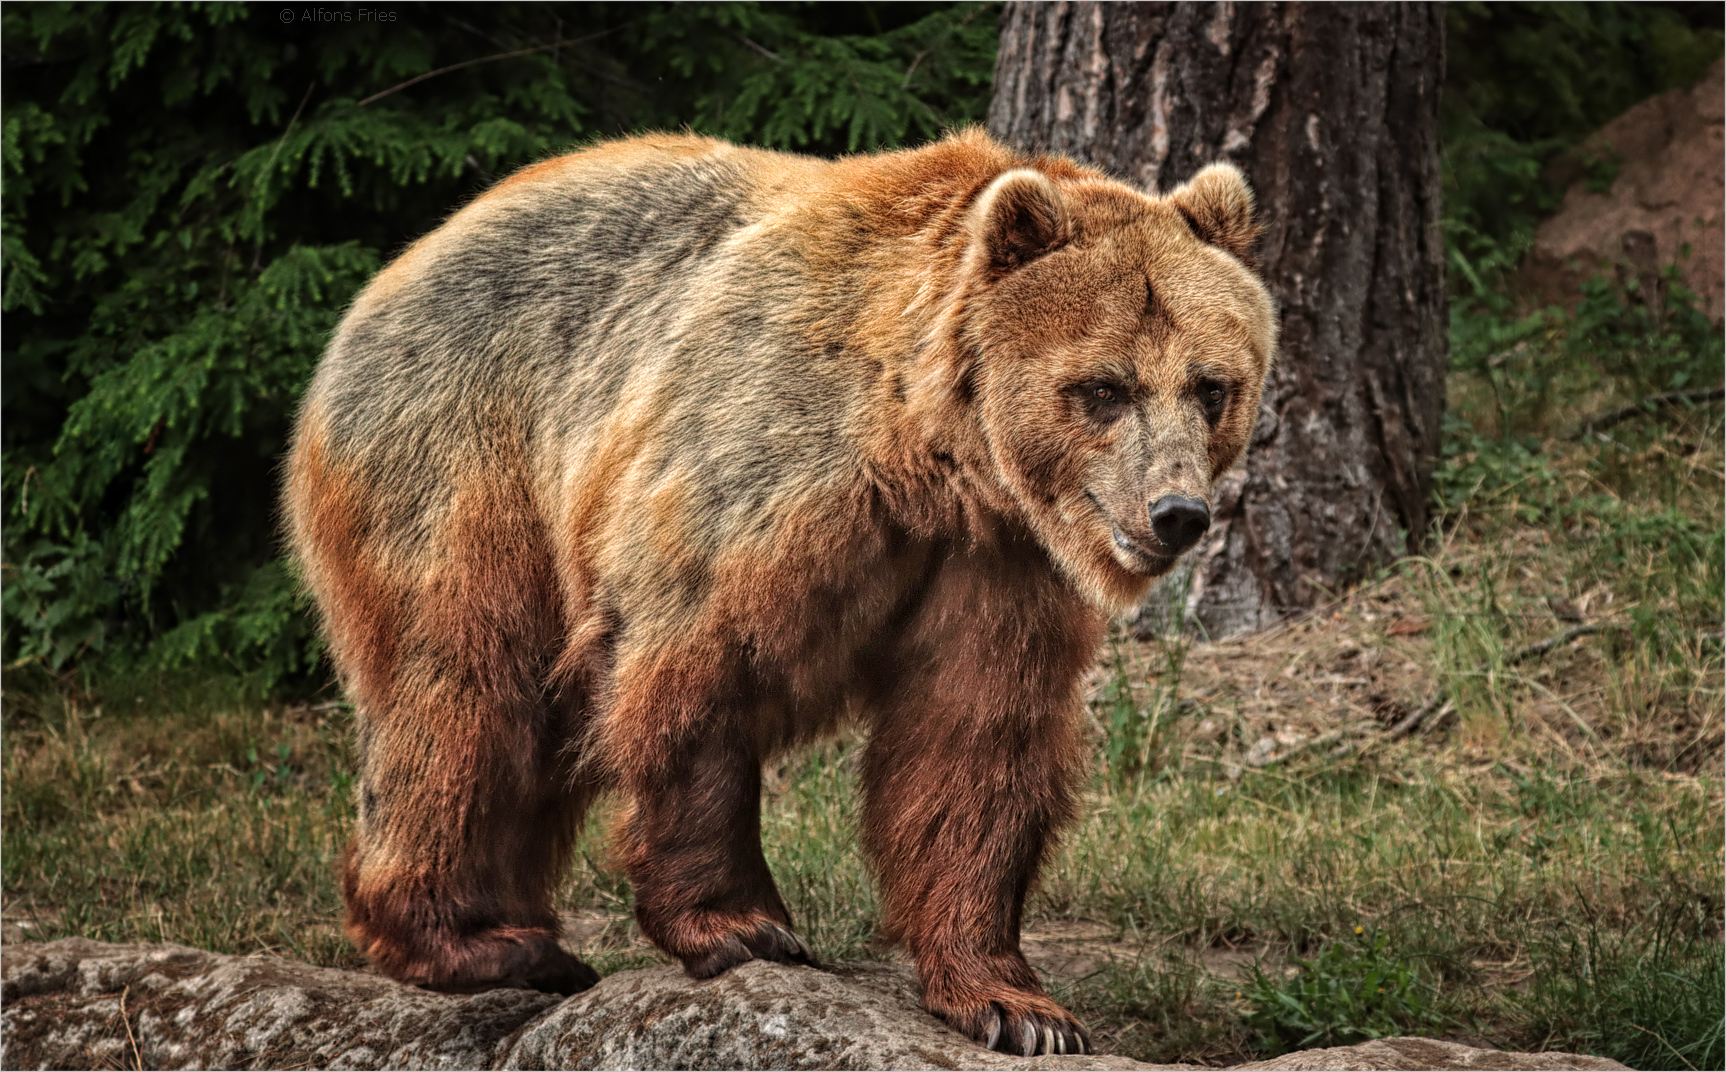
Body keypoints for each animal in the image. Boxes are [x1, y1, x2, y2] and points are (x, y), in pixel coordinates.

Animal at [283, 127, 1277, 1056]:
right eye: (1103, 387)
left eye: (1211, 386)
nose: (1177, 512)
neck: (930, 458)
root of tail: (402, 263)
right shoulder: (759, 468)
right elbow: (694, 674)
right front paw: (742, 926)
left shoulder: (999, 563)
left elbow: (974, 741)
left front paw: (1015, 1004)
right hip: (467, 456)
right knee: (465, 692)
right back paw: (479, 942)